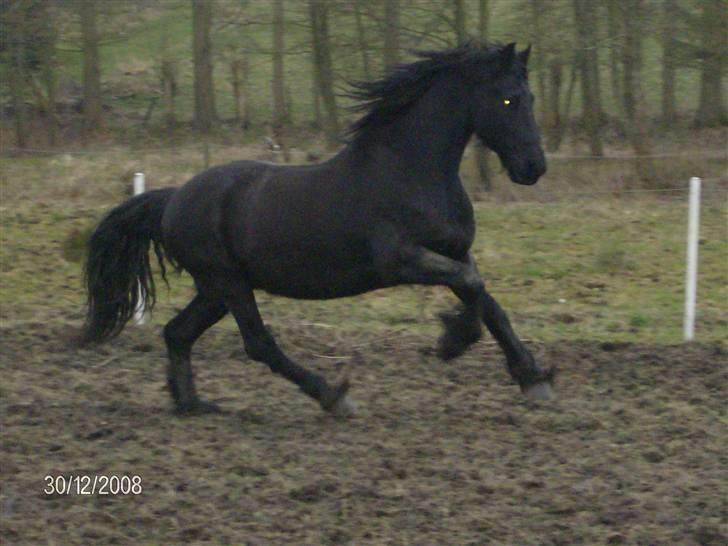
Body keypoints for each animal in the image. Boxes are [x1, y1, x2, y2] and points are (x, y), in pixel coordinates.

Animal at [81, 42, 552, 414]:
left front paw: (532, 378)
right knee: (257, 343)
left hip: (215, 289)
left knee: (177, 333)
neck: (411, 172)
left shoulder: (454, 251)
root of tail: (173, 198)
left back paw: (192, 404)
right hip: (228, 282)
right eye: (509, 100)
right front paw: (453, 340)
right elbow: (473, 288)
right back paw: (332, 395)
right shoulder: (400, 260)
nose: (534, 167)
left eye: (531, 97)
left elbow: (488, 301)